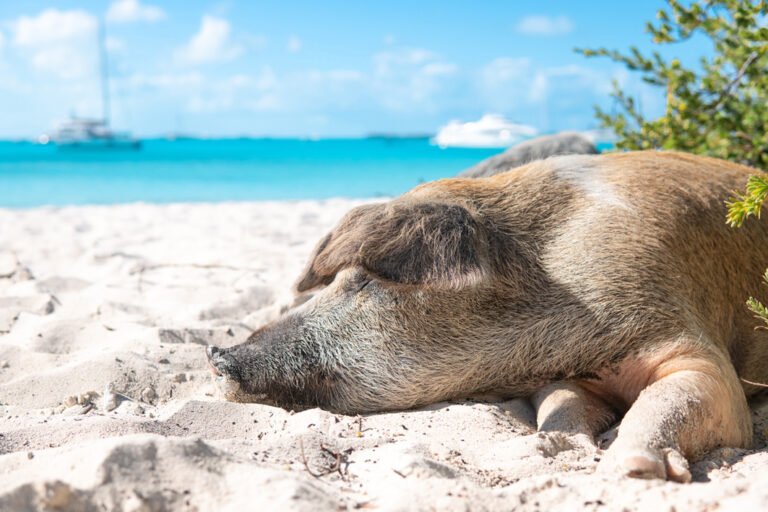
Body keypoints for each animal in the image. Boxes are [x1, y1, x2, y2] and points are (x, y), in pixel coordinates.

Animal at [207, 150, 768, 482]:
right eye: (338, 277)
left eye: (365, 281)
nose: (216, 353)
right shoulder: (570, 372)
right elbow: (560, 403)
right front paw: (563, 442)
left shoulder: (679, 327)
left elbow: (689, 393)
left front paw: (628, 470)